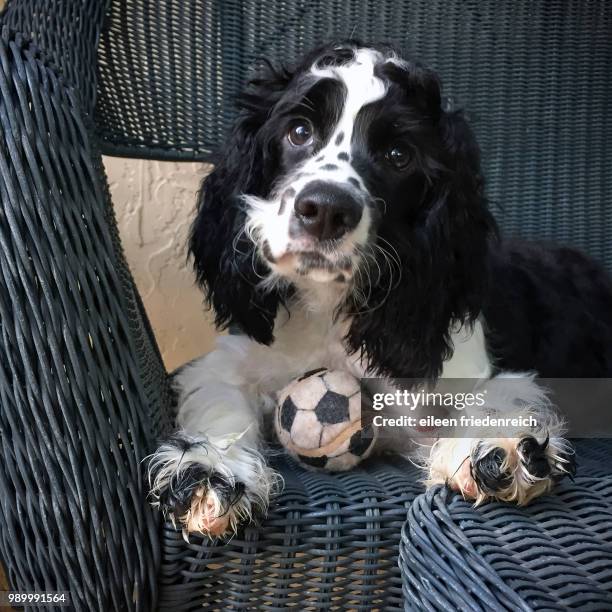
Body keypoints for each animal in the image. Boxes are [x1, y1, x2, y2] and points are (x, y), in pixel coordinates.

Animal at [148, 41, 612, 536]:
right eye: (298, 131)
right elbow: (220, 399)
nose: (326, 210)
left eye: (397, 155)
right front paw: (210, 470)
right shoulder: (232, 360)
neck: (333, 310)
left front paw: (496, 445)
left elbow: (494, 397)